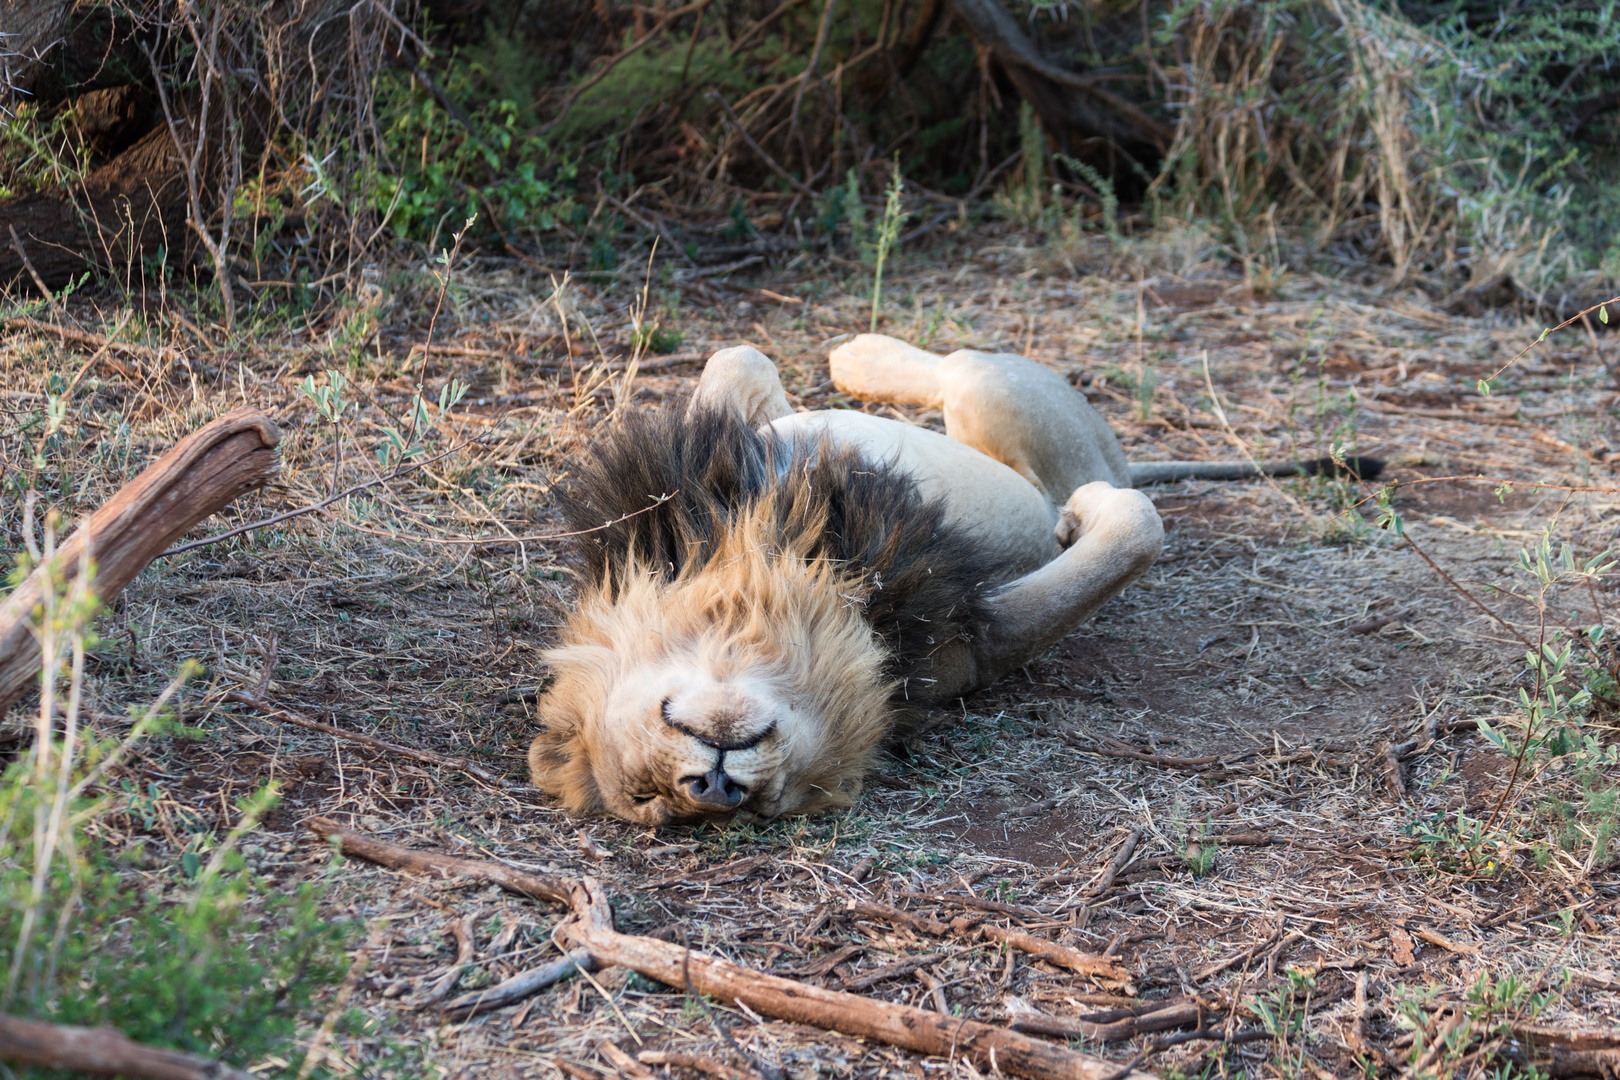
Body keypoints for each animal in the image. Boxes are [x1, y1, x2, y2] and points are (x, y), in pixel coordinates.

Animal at [531, 333, 1380, 822]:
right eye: (648, 800)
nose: (712, 790)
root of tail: (1119, 450)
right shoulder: (974, 640)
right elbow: (1124, 545)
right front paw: (1090, 522)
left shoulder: (721, 462)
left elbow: (737, 368)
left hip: (996, 403)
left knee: (956, 369)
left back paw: (858, 355)